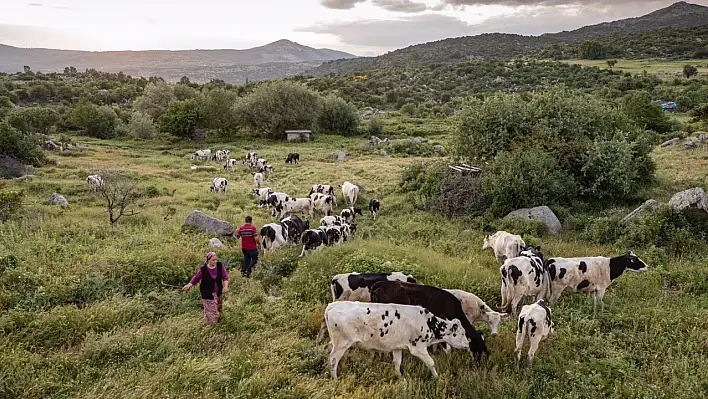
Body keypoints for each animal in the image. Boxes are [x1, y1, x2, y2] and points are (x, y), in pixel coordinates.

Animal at [324, 302, 470, 380]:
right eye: (462, 333)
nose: (468, 344)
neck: (428, 323)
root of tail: (333, 305)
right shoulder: (418, 348)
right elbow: (431, 363)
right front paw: (437, 378)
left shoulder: (397, 347)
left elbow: (397, 363)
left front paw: (400, 377)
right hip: (342, 343)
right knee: (333, 360)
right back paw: (335, 379)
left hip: (334, 342)